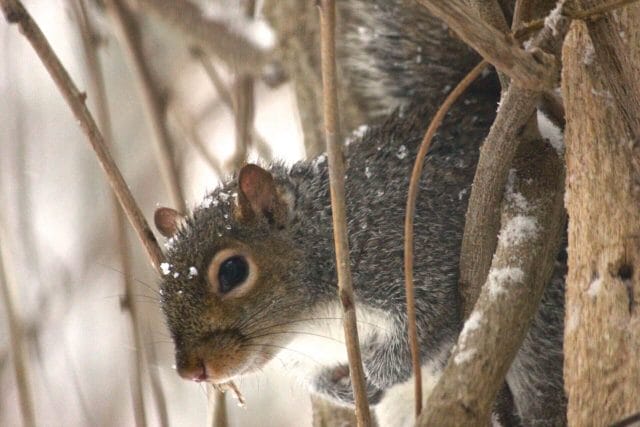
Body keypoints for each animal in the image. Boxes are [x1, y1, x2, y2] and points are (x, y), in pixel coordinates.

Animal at [154, 0, 564, 424]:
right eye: (162, 283)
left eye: (233, 271)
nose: (191, 371)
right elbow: (319, 381)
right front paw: (342, 391)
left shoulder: (409, 251)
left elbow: (423, 327)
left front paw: (368, 376)